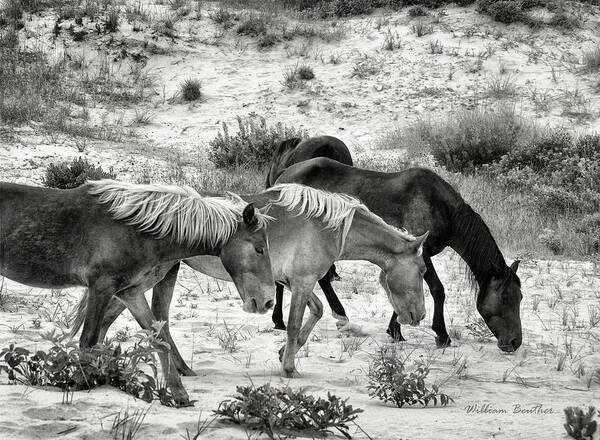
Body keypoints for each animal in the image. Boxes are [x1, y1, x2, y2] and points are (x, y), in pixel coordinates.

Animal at [0, 180, 272, 406]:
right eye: (259, 249)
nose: (267, 301)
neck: (134, 230)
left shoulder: (129, 292)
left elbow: (159, 339)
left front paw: (180, 395)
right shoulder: (102, 288)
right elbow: (88, 341)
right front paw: (79, 383)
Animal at [72, 182, 428, 378]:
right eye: (423, 271)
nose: (418, 316)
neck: (325, 226)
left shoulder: (292, 282)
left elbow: (313, 314)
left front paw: (285, 355)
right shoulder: (301, 282)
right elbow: (296, 323)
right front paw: (289, 368)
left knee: (120, 318)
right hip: (148, 278)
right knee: (112, 317)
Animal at [270, 144, 524, 354]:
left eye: (520, 297)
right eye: (505, 297)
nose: (514, 342)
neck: (440, 207)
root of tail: (284, 175)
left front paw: (395, 329)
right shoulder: (423, 253)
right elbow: (437, 290)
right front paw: (441, 334)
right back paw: (283, 320)